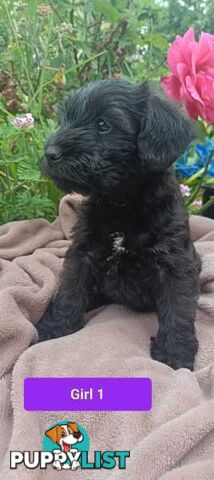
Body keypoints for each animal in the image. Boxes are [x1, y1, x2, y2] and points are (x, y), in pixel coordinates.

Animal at [39, 79, 201, 372]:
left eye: (104, 124)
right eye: (66, 119)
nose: (50, 154)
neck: (122, 202)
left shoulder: (175, 264)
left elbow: (179, 308)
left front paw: (175, 353)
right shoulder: (84, 252)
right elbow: (70, 288)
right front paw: (57, 326)